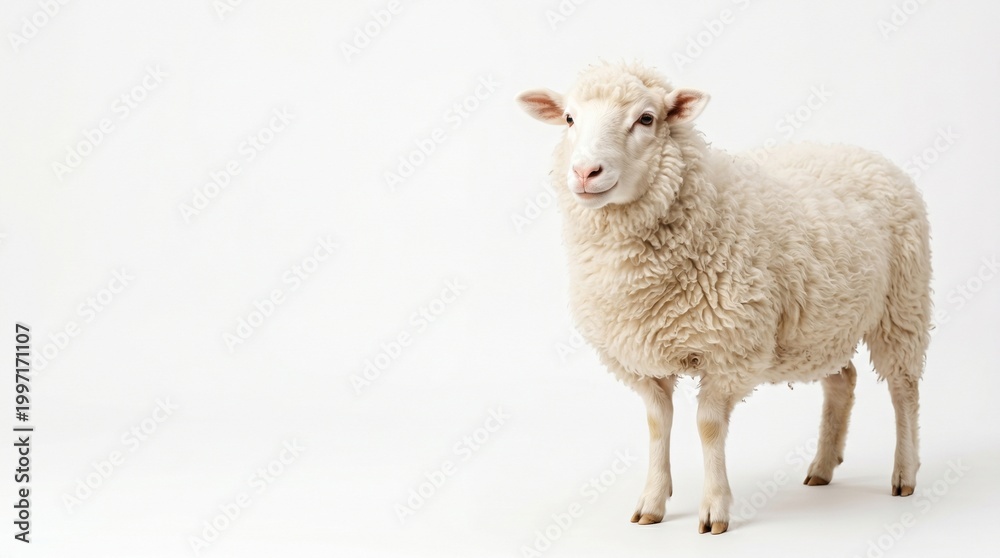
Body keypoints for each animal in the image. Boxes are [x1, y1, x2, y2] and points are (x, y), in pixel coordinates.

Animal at [515, 61, 931, 535]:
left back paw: (905, 474)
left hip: (902, 305)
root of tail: (862, 153)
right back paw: (823, 467)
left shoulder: (729, 351)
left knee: (904, 390)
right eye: (569, 118)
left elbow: (708, 427)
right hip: (824, 323)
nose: (586, 172)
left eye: (646, 119)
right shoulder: (642, 359)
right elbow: (657, 424)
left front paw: (715, 509)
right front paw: (652, 502)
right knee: (842, 381)